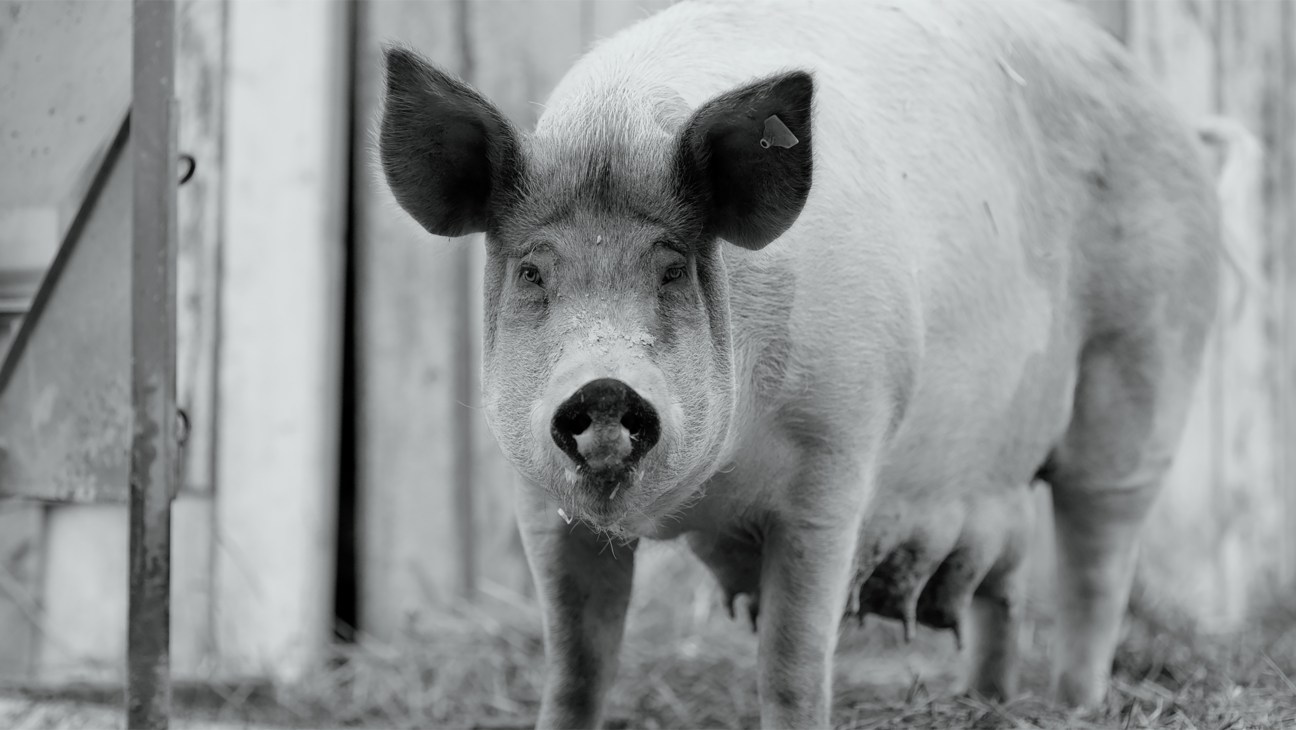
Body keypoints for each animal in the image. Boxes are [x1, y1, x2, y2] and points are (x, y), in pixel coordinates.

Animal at [378, 0, 1225, 726]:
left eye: (672, 267)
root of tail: (1174, 120)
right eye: (532, 271)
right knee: (1006, 581)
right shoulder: (535, 495)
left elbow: (792, 665)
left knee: (1096, 562)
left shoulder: (836, 462)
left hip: (1143, 374)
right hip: (1003, 467)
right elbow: (577, 669)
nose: (607, 386)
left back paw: (1074, 705)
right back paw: (986, 701)